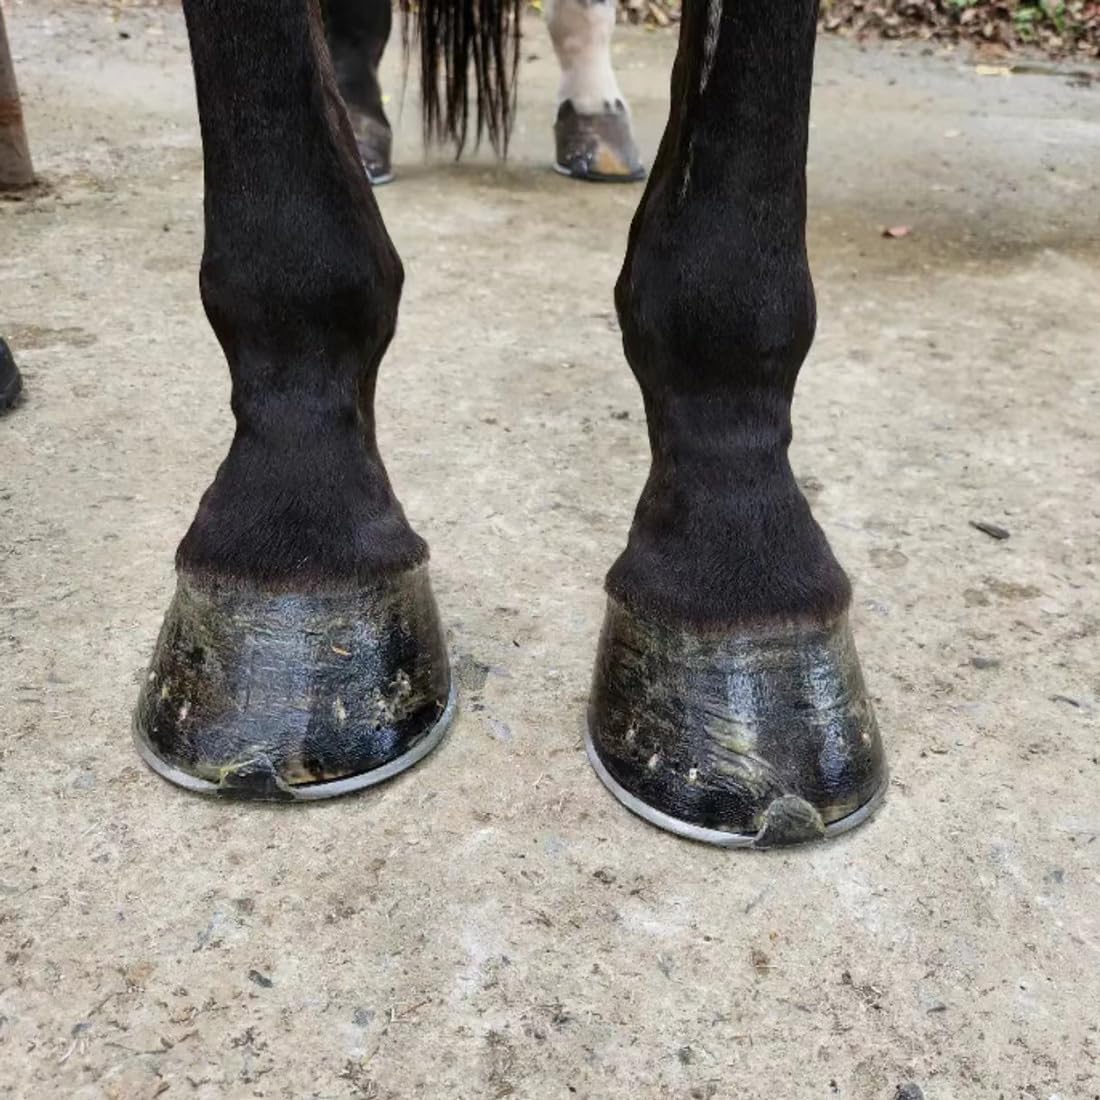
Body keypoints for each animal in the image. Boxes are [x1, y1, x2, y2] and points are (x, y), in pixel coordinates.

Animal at [132, 0, 887, 848]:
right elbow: (286, 229)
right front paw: (290, 546)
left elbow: (732, 263)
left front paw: (740, 579)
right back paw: (363, 124)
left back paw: (596, 123)